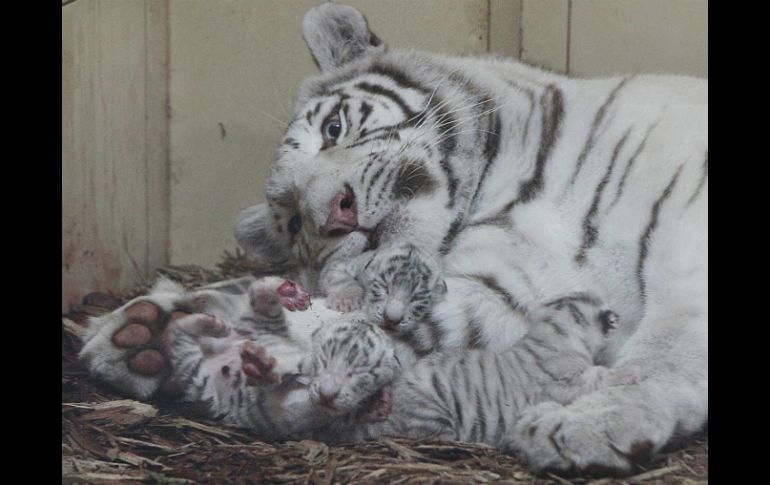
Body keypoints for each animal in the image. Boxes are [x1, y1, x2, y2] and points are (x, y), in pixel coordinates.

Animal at [78, 3, 707, 475]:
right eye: (293, 222)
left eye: (333, 129)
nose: (333, 214)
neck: (504, 190)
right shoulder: (501, 290)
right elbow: (355, 322)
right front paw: (147, 334)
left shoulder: (687, 245)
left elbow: (665, 349)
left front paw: (588, 421)